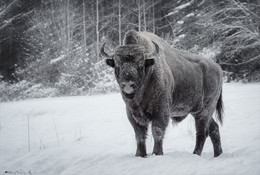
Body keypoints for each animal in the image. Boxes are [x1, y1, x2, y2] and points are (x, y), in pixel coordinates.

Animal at [100, 30, 222, 158]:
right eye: (117, 64)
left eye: (141, 64)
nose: (128, 84)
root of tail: (218, 68)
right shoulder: (132, 114)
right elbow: (139, 135)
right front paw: (140, 155)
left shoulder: (161, 111)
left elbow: (157, 131)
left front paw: (157, 153)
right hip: (199, 112)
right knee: (214, 129)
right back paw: (217, 154)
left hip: (204, 111)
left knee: (202, 132)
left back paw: (196, 154)